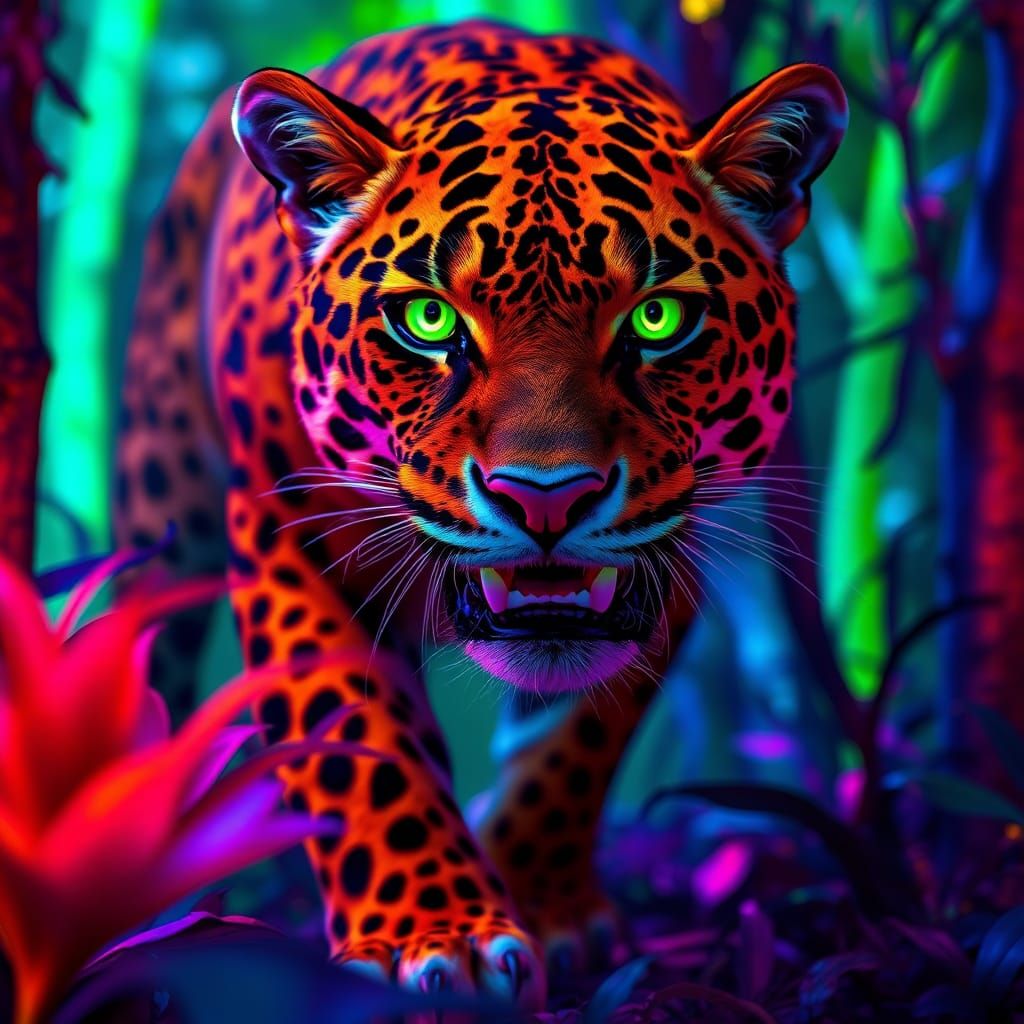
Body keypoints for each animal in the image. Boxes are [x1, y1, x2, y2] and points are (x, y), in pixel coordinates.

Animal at [115, 19, 846, 1011]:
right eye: (428, 320)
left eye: (658, 319)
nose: (547, 495)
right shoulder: (284, 538)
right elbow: (357, 741)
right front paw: (435, 938)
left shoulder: (675, 548)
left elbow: (576, 741)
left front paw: (539, 905)